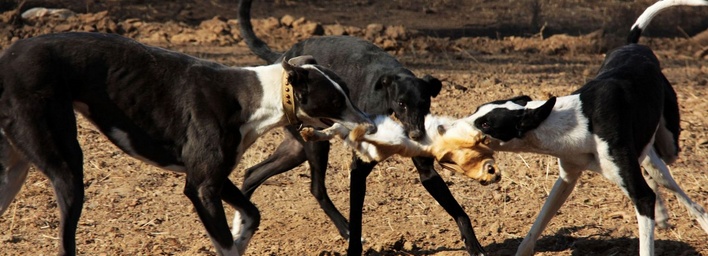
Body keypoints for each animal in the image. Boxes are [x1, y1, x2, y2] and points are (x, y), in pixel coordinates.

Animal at [0, 32, 376, 256]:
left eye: (347, 91)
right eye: (334, 101)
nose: (371, 124)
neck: (255, 97)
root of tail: (8, 58)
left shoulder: (211, 177)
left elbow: (252, 213)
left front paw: (241, 233)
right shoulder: (201, 187)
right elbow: (225, 243)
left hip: (13, 170)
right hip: (66, 169)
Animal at [235, 1, 490, 255]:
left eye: (425, 103)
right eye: (401, 103)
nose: (417, 135)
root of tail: (285, 56)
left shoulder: (428, 173)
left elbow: (459, 212)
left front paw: (473, 244)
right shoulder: (358, 170)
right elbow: (357, 215)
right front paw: (354, 243)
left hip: (296, 149)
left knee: (251, 174)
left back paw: (239, 224)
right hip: (315, 145)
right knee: (317, 188)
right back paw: (345, 230)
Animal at [464, 1, 708, 255]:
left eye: (486, 123)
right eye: (477, 110)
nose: (453, 125)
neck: (578, 121)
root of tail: (634, 46)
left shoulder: (641, 196)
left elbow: (645, 219)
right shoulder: (566, 178)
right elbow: (534, 229)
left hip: (669, 147)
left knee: (675, 186)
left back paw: (701, 220)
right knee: (651, 168)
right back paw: (660, 212)